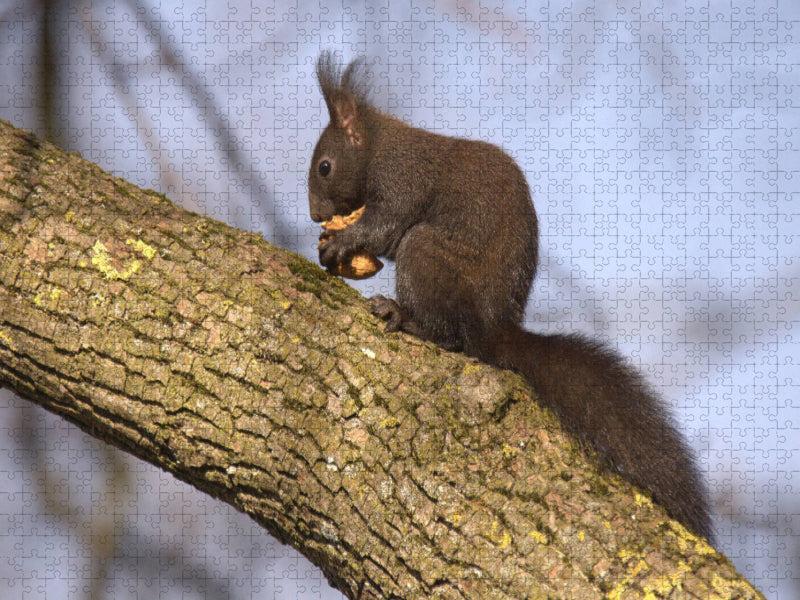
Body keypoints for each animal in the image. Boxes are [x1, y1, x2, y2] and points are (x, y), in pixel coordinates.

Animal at [308, 52, 712, 542]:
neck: (379, 144)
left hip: (426, 257)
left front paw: (341, 243)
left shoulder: (404, 179)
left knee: (452, 335)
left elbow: (384, 227)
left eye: (325, 166)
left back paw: (405, 317)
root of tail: (496, 329)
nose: (315, 214)